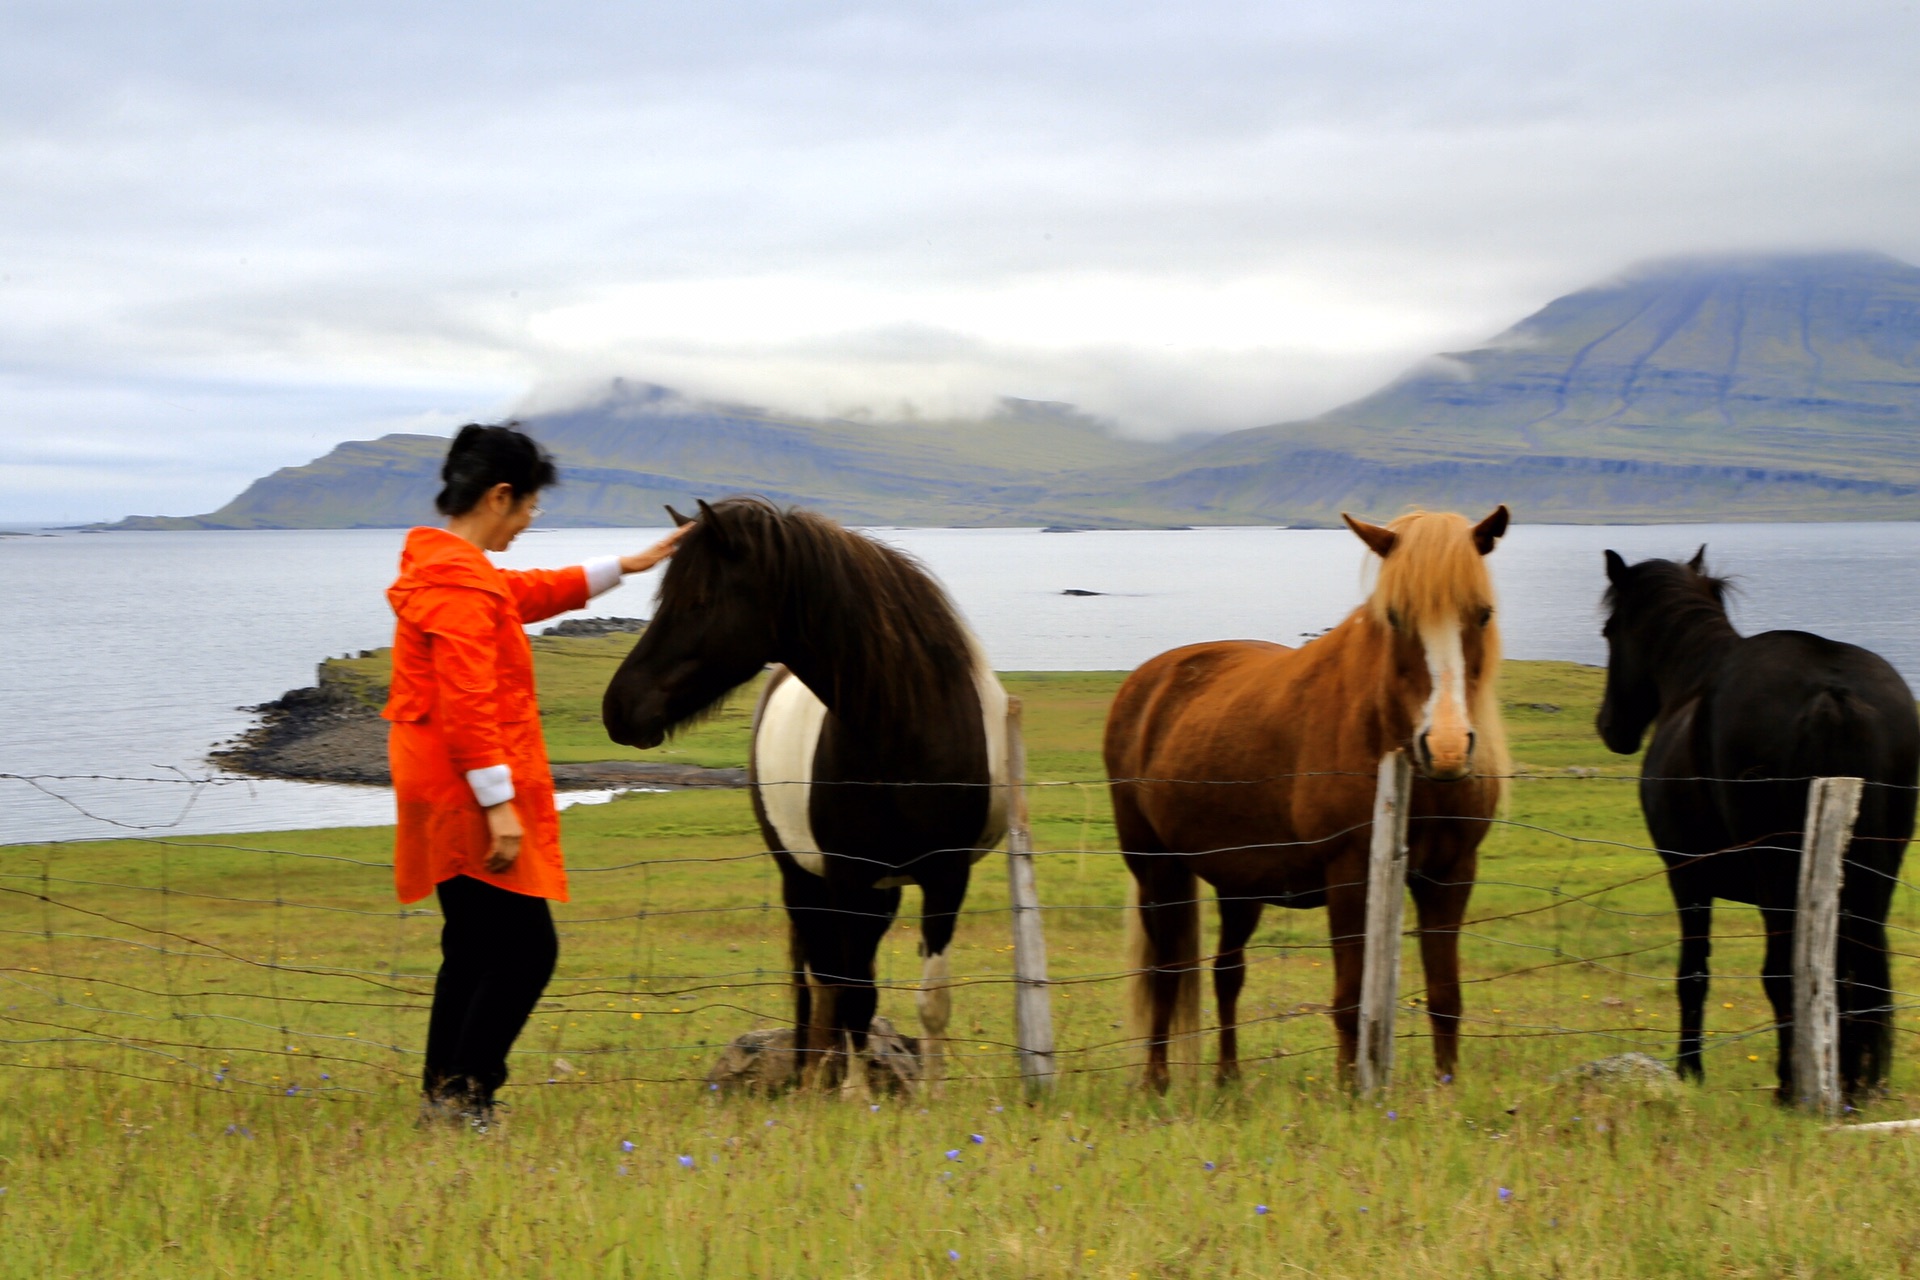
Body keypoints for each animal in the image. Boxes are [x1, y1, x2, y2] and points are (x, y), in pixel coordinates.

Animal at [602, 498, 1013, 1090]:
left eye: (698, 600)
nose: (619, 708)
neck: (904, 730)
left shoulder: (946, 876)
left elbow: (930, 998)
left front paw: (934, 1093)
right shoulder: (845, 877)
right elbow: (850, 994)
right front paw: (854, 1094)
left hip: (878, 891)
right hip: (804, 879)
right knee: (824, 981)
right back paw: (818, 1074)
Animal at [1105, 506, 1505, 1090]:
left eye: (1481, 614)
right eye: (1395, 616)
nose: (1447, 747)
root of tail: (1146, 681)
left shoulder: (1451, 876)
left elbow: (1445, 997)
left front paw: (1446, 1089)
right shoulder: (1349, 876)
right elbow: (1349, 1001)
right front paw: (1349, 1091)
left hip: (1239, 883)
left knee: (1227, 972)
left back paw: (1229, 1079)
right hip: (1156, 869)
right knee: (1166, 972)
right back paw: (1157, 1081)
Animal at [1597, 552, 1912, 1105]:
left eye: (1610, 631)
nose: (1609, 726)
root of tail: (1834, 691)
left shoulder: (1687, 876)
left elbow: (1693, 974)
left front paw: (1689, 1069)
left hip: (1776, 879)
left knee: (1783, 973)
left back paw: (1792, 1088)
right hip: (1875, 877)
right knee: (1856, 979)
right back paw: (1853, 1085)